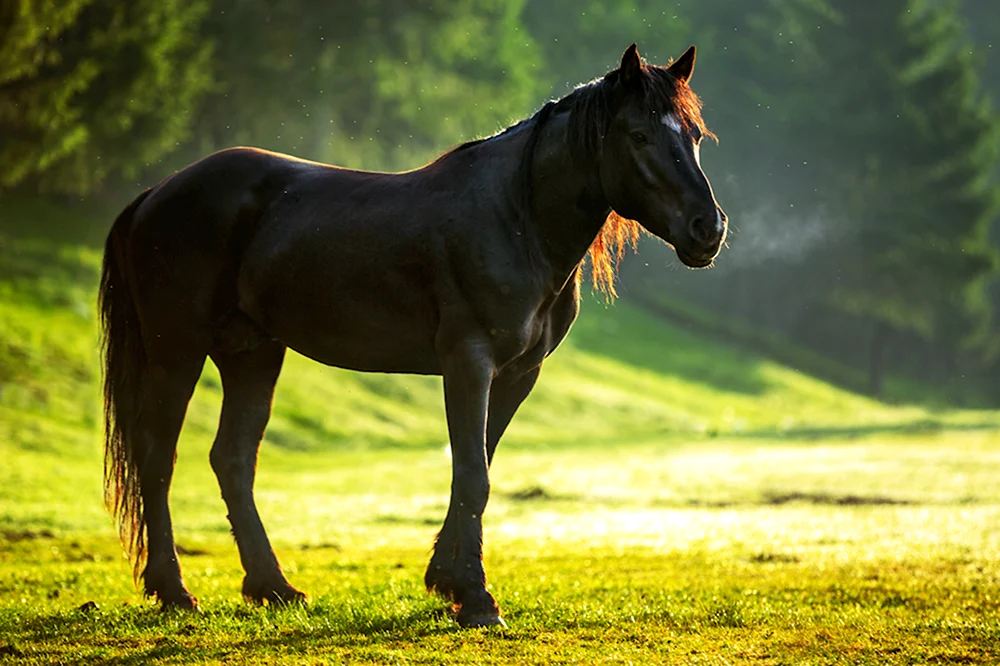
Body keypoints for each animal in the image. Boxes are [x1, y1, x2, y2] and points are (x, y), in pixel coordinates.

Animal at [99, 44, 728, 624]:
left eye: (696, 135)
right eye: (639, 136)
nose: (709, 228)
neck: (514, 219)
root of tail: (156, 194)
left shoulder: (517, 375)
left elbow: (476, 468)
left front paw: (447, 580)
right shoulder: (468, 363)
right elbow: (472, 476)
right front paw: (476, 598)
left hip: (252, 353)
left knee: (232, 460)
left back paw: (273, 587)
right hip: (177, 352)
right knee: (158, 457)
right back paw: (174, 591)